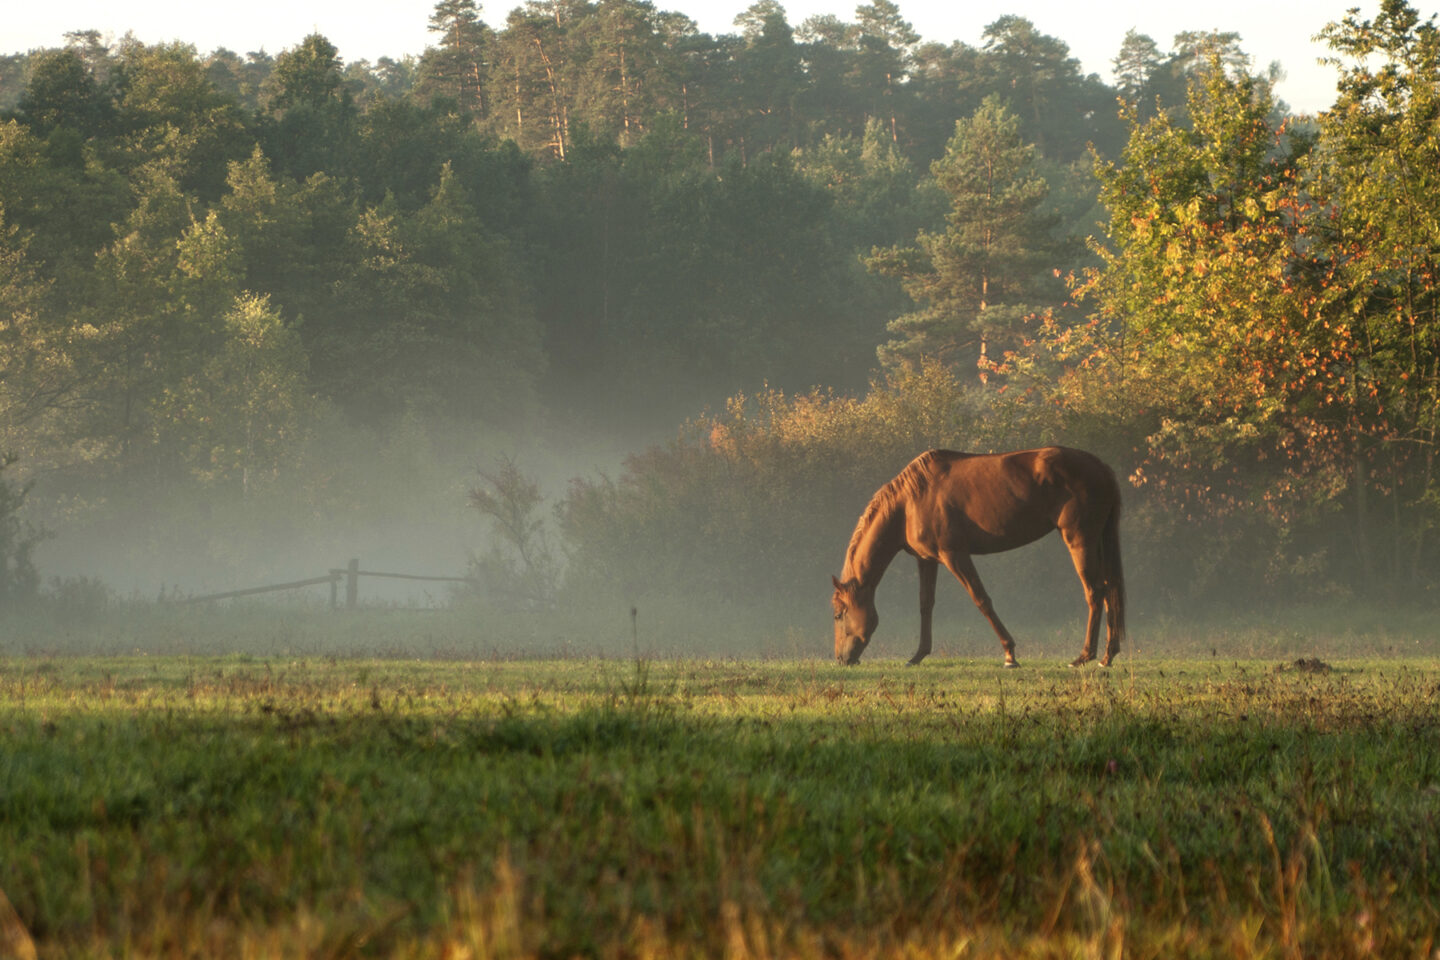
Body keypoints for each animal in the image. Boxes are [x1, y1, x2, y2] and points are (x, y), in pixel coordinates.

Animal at [835, 449, 1123, 667]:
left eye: (838, 614)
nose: (841, 659)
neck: (910, 503)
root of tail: (1102, 468)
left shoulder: (954, 555)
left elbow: (981, 599)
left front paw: (1009, 654)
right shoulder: (927, 560)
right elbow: (926, 605)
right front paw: (917, 656)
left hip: (1079, 542)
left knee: (1094, 592)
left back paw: (1084, 656)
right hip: (1097, 542)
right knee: (1109, 591)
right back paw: (1108, 656)